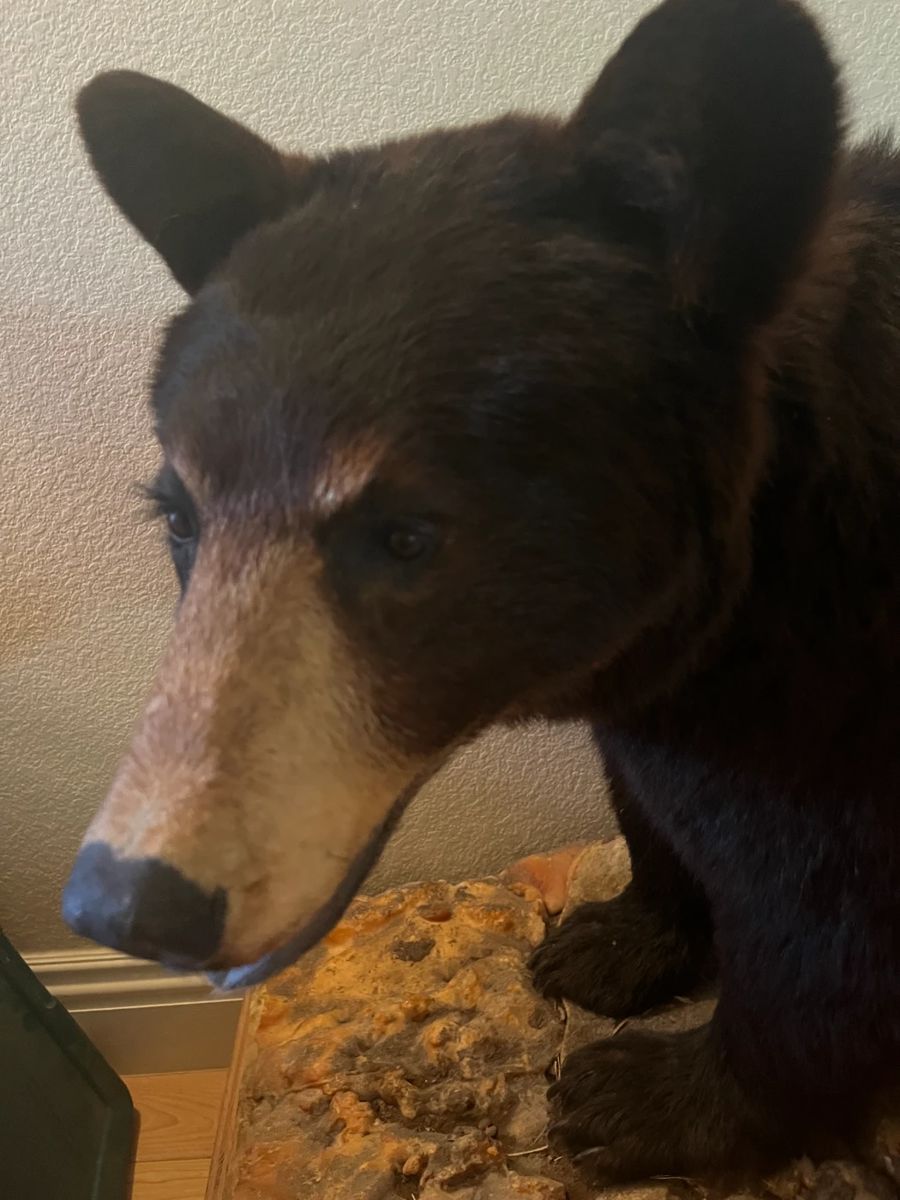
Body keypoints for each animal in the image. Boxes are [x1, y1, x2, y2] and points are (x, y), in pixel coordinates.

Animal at [62, 0, 900, 1185]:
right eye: (180, 516)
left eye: (406, 536)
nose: (131, 899)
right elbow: (652, 802)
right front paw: (620, 936)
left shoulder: (841, 718)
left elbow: (824, 937)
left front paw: (648, 1100)